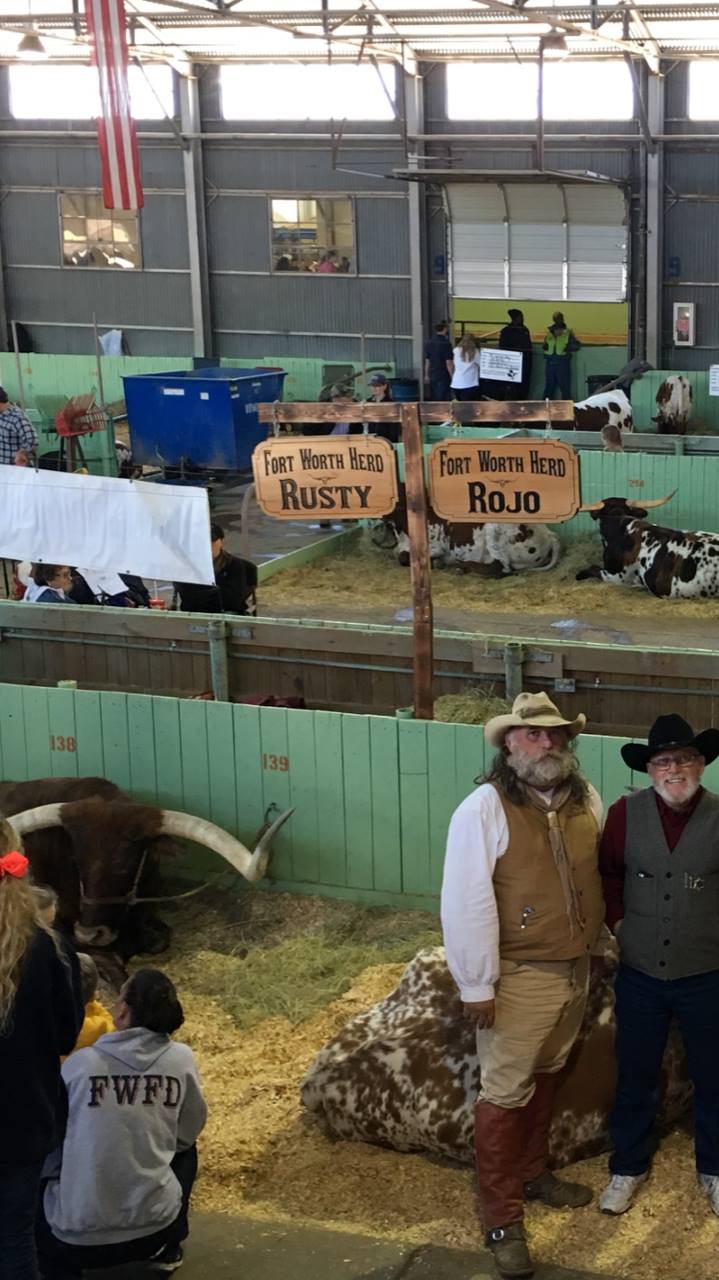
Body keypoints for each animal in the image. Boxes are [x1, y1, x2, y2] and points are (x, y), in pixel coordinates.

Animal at [374, 486, 561, 576]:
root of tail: (550, 534)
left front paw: (438, 563)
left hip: (493, 528)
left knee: (501, 568)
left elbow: (403, 557)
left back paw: (461, 566)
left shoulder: (435, 547)